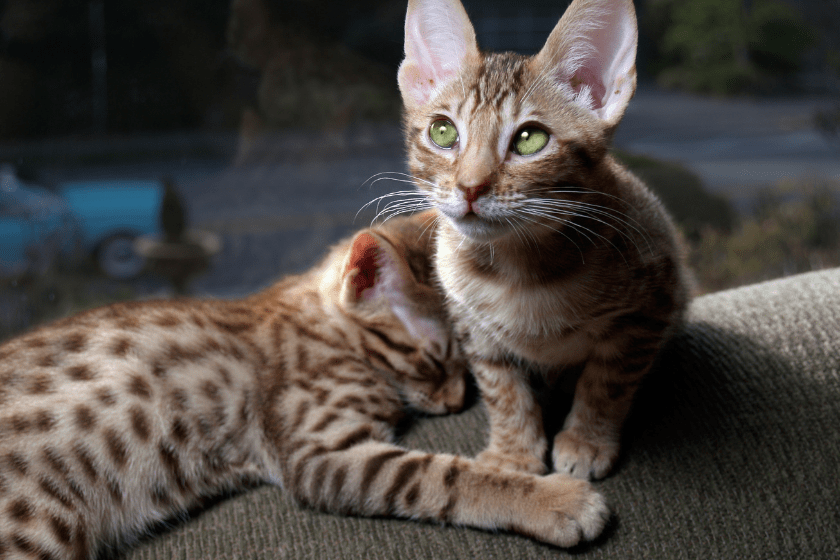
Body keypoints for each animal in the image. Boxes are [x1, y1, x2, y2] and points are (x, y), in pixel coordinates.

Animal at [0, 212, 604, 556]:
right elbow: (448, 475)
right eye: (433, 362)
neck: (323, 326)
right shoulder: (320, 451)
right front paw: (556, 501)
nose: (456, 400)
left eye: (466, 370)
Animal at [398, 0, 692, 482]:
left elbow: (607, 381)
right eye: (443, 132)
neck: (516, 269)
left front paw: (586, 440)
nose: (470, 187)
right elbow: (502, 389)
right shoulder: (473, 326)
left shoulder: (651, 305)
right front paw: (513, 453)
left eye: (529, 138)